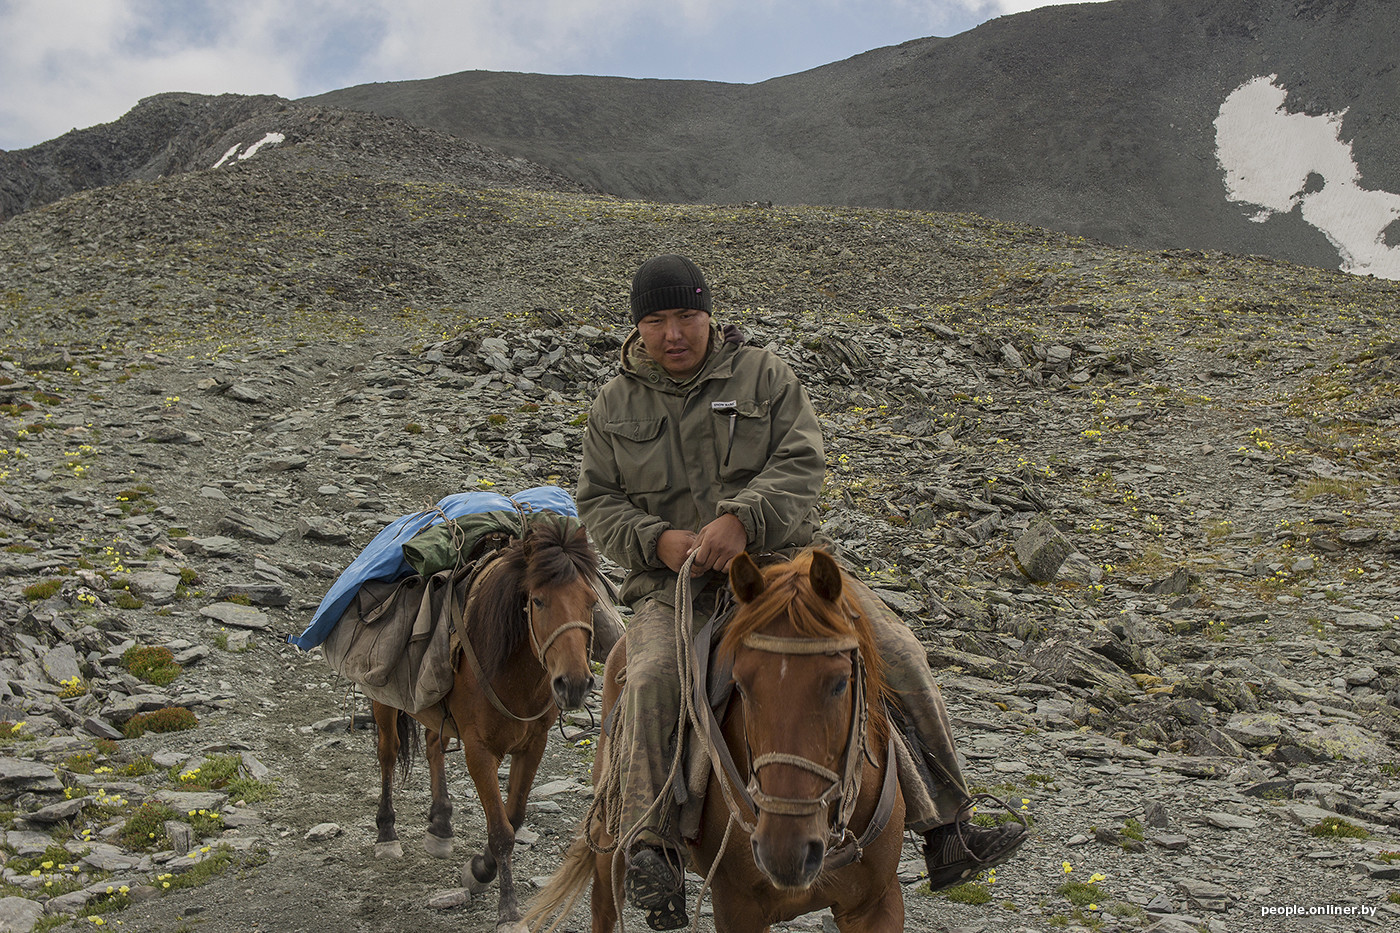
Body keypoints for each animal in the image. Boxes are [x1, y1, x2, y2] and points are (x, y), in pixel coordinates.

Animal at [375, 515, 599, 930]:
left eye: (591, 601)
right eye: (538, 600)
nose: (574, 683)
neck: (512, 673)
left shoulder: (534, 744)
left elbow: (515, 815)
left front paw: (480, 869)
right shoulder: (480, 751)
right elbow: (501, 831)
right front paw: (508, 910)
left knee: (433, 745)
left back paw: (440, 825)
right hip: (382, 697)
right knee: (388, 753)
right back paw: (386, 833)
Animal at [526, 546, 907, 930]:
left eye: (840, 682)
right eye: (741, 684)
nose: (786, 852)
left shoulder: (877, 904)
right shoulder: (738, 907)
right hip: (611, 829)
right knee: (603, 904)